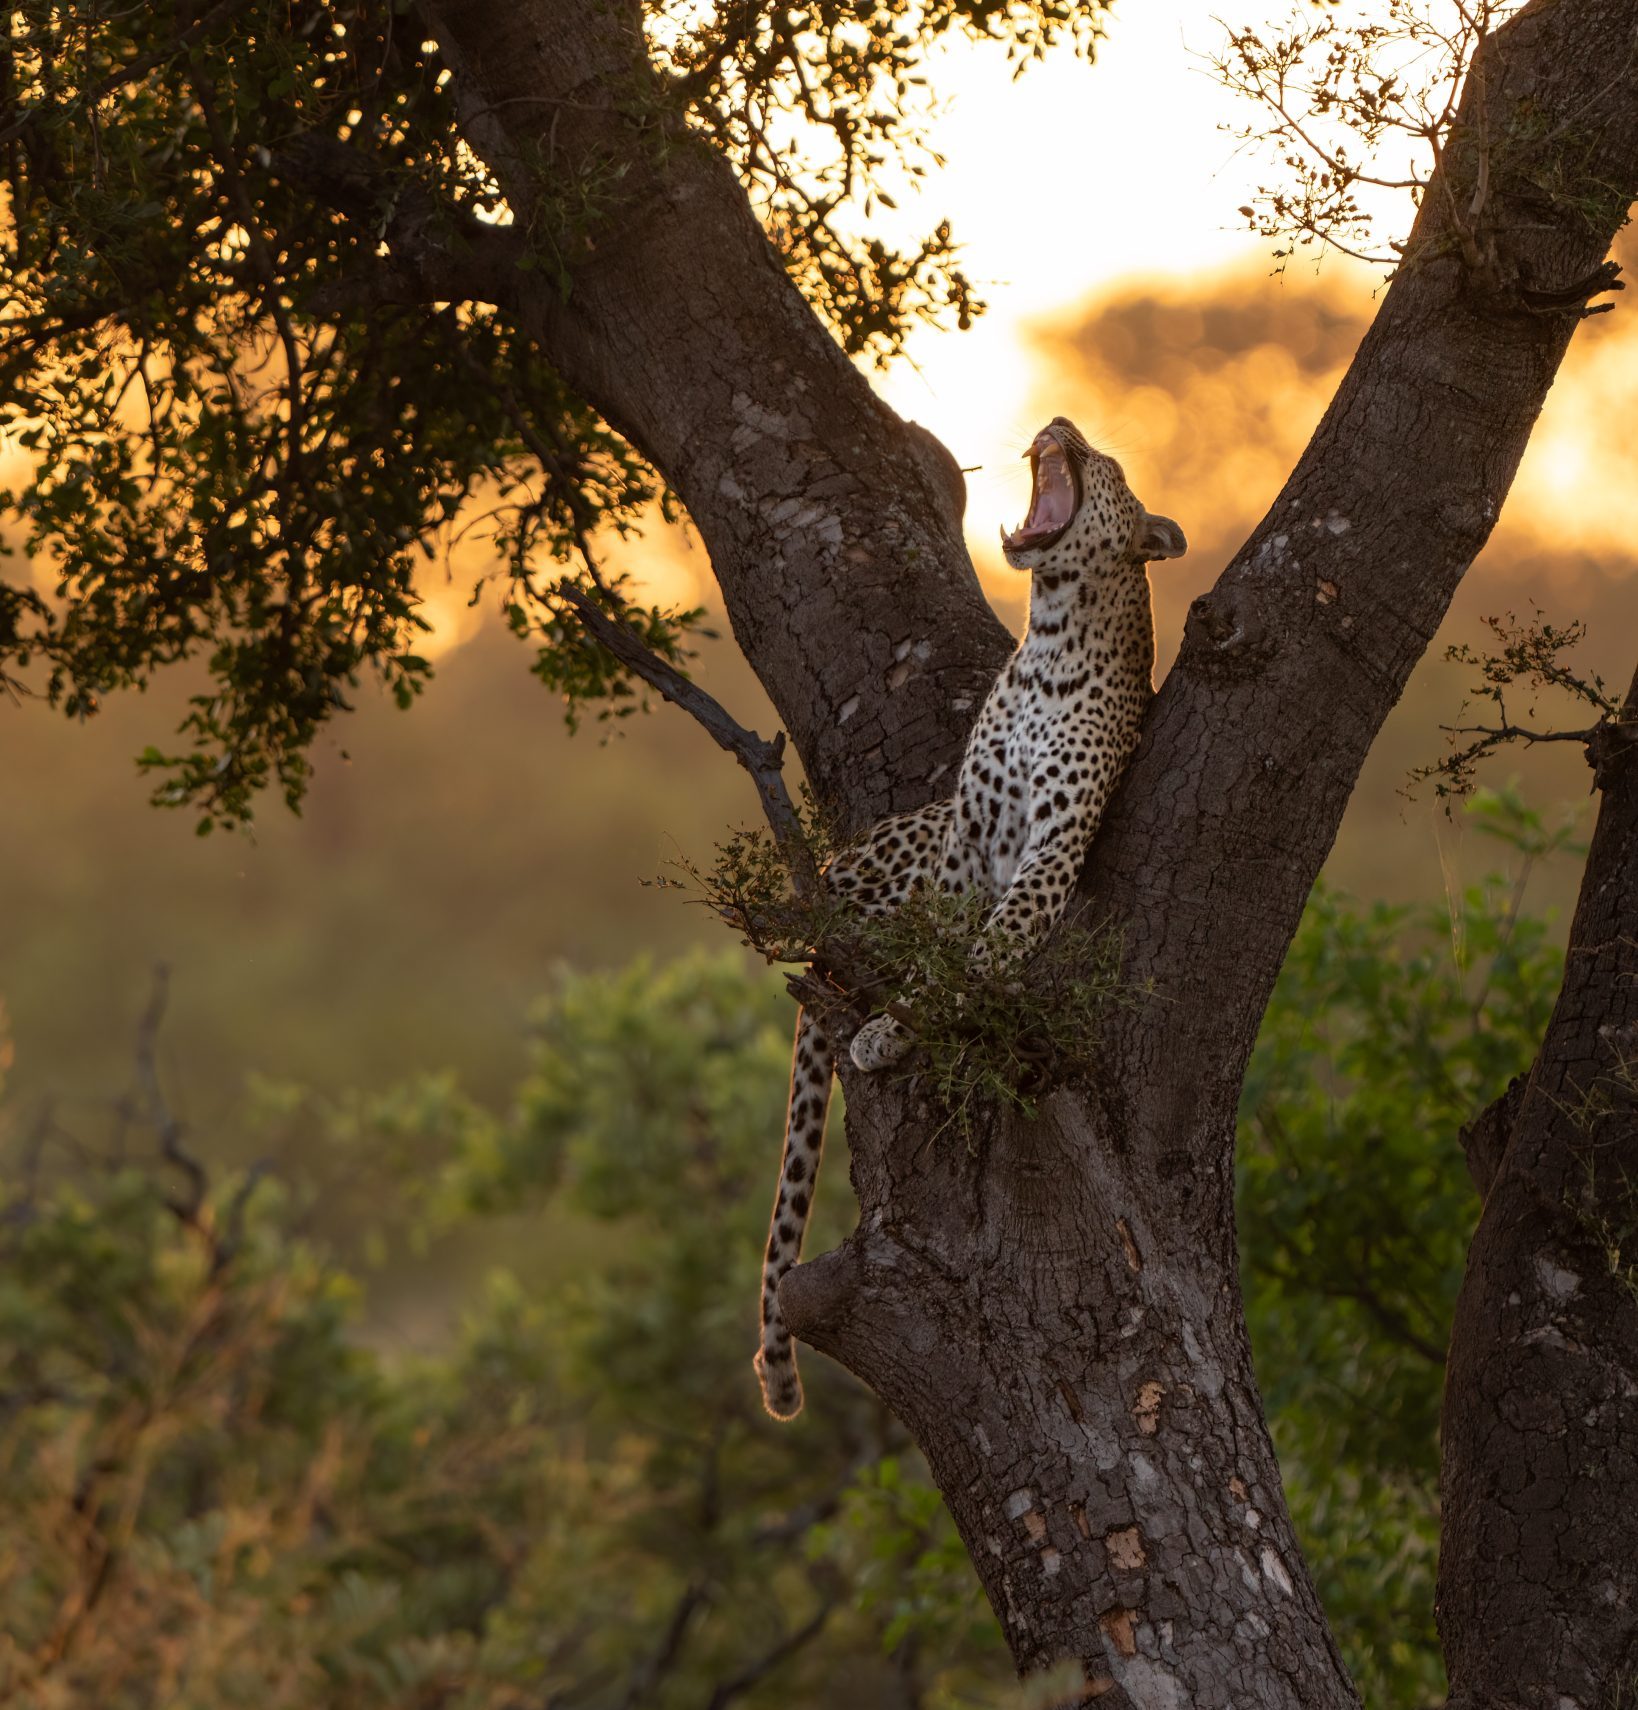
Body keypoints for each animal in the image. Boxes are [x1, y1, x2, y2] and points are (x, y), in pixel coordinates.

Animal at [754, 417, 1187, 1419]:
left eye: (1107, 462)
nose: (1059, 424)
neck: (1049, 642)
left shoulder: (1050, 850)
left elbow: (983, 953)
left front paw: (893, 1031)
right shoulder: (967, 838)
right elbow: (948, 941)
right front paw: (897, 1017)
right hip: (902, 845)